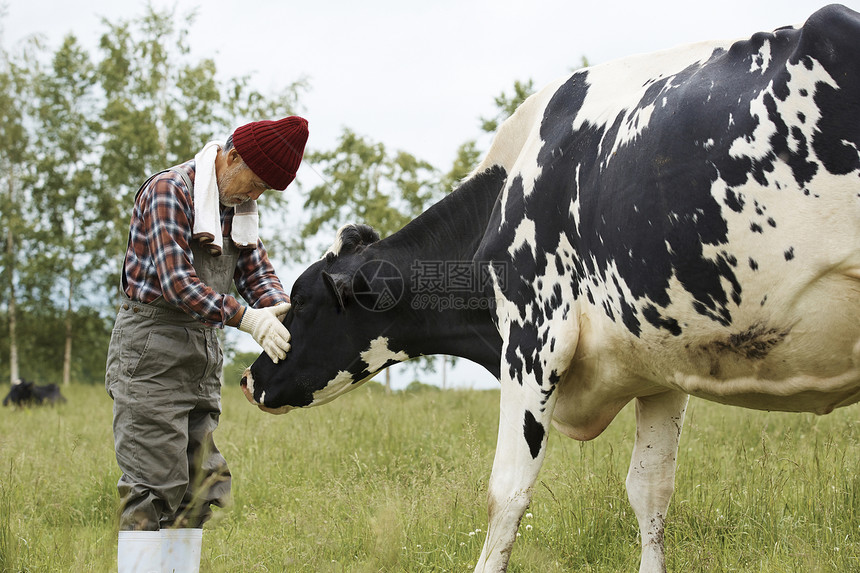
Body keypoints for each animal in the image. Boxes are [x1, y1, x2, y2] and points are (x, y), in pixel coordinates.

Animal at [242, 5, 860, 572]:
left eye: (303, 300)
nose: (250, 379)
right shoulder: (661, 362)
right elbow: (650, 489)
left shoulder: (533, 339)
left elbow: (507, 492)